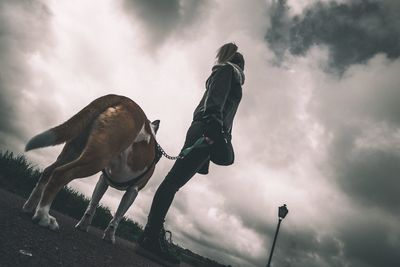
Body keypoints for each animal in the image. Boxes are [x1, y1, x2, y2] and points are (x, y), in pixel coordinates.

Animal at [22, 93, 159, 243]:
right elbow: (118, 216)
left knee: (48, 171)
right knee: (60, 174)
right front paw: (110, 236)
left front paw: (83, 225)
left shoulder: (103, 180)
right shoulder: (133, 190)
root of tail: (124, 99)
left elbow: (93, 204)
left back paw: (30, 208)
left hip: (73, 151)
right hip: (98, 158)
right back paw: (44, 216)